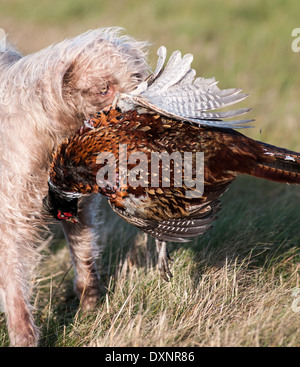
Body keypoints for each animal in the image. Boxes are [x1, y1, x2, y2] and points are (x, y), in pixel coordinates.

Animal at [0, 27, 149, 346]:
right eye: (103, 88)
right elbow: (15, 287)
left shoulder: (78, 205)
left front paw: (91, 312)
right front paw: (24, 337)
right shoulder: (9, 215)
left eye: (138, 79)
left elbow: (85, 258)